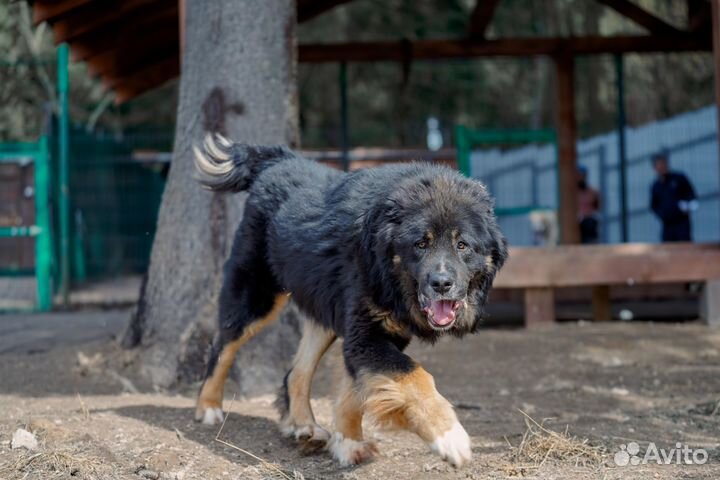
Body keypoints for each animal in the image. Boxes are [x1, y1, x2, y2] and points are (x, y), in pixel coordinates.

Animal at [191, 133, 506, 466]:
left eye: (462, 245)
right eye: (421, 244)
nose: (442, 283)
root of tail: (279, 161)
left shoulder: (372, 333)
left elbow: (352, 391)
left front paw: (348, 441)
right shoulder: (366, 334)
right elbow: (415, 377)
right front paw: (449, 436)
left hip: (323, 306)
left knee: (296, 373)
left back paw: (304, 426)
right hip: (256, 296)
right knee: (222, 347)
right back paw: (208, 407)